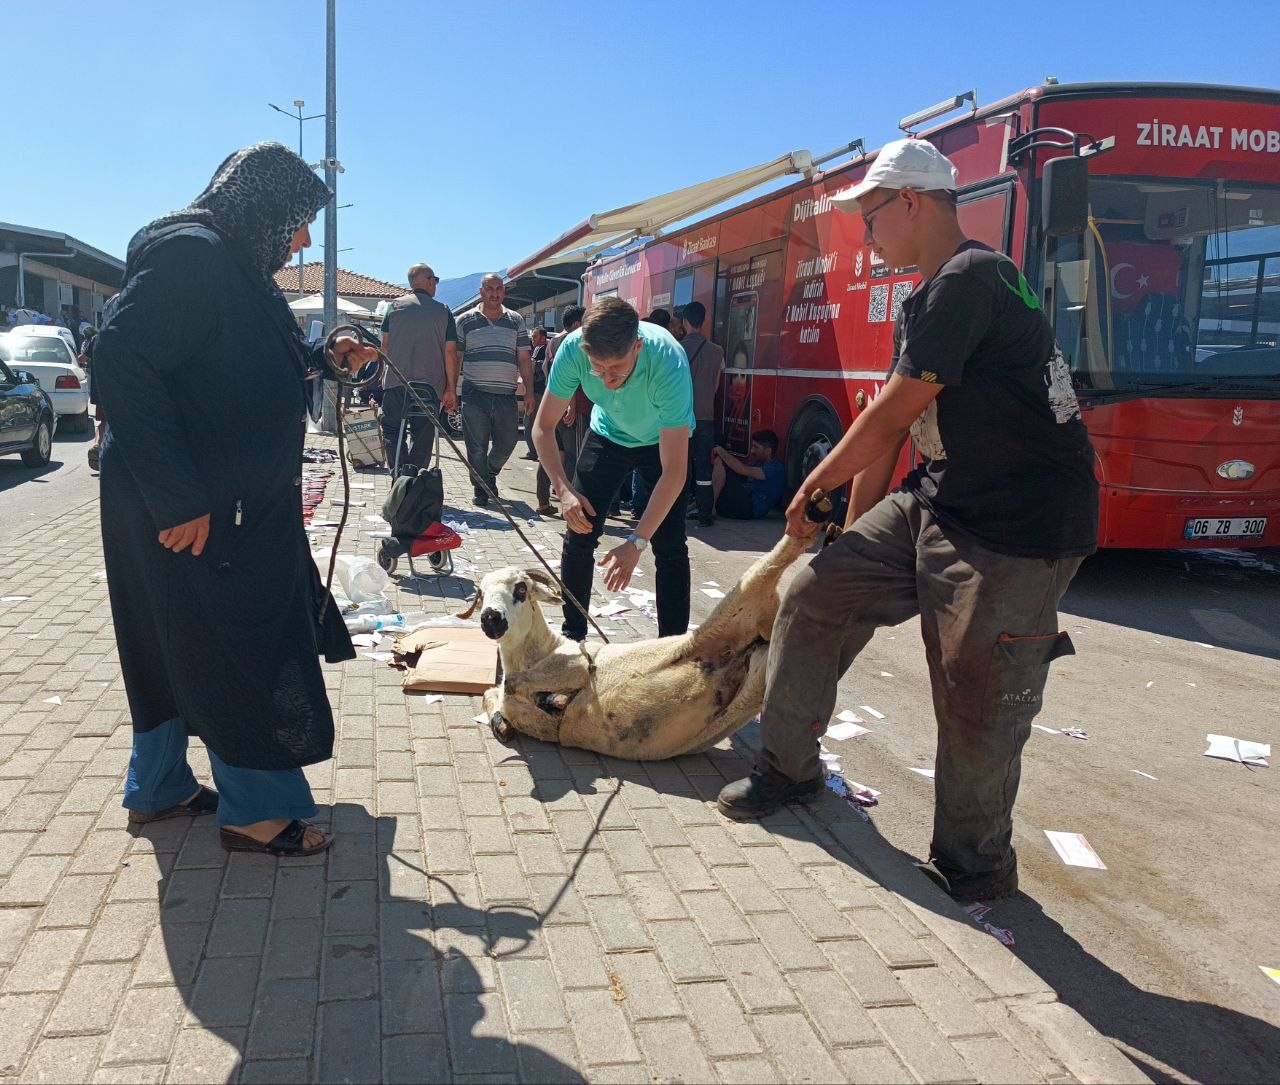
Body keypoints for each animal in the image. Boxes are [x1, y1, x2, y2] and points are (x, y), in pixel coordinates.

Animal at [463, 532, 808, 752]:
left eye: (521, 589)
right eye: (481, 594)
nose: (491, 618)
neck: (538, 652)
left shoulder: (575, 665)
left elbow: (511, 688)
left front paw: (552, 700)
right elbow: (494, 694)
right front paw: (504, 723)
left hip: (741, 601)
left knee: (776, 560)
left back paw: (808, 515)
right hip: (759, 672)